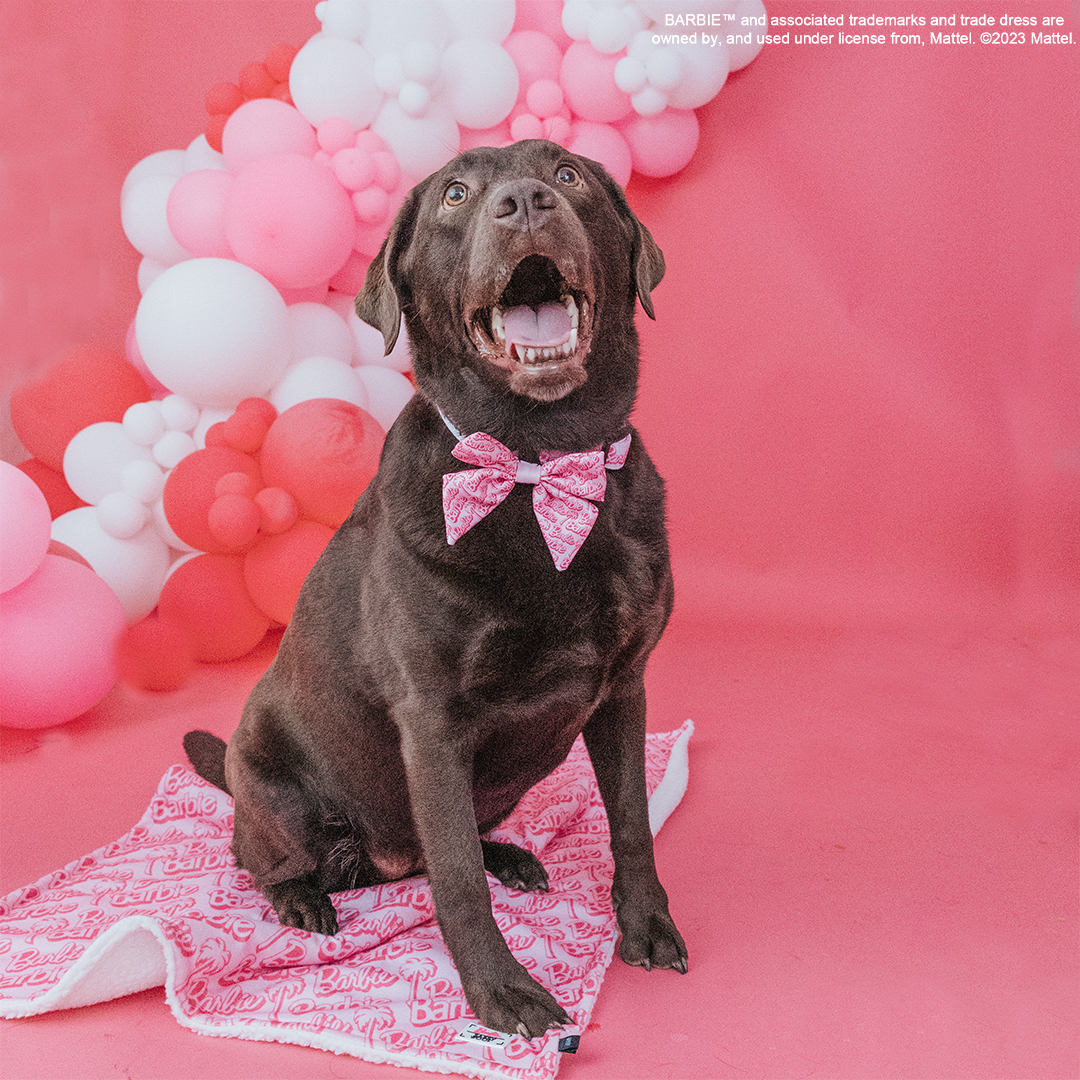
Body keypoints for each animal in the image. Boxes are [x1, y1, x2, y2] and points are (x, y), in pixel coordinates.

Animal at [185, 138, 687, 1040]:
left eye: (567, 176)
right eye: (456, 194)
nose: (523, 201)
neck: (535, 463)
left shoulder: (624, 687)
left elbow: (632, 822)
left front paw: (648, 926)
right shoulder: (432, 721)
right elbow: (455, 879)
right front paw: (500, 993)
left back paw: (511, 856)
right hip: (269, 775)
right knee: (268, 857)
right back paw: (301, 898)